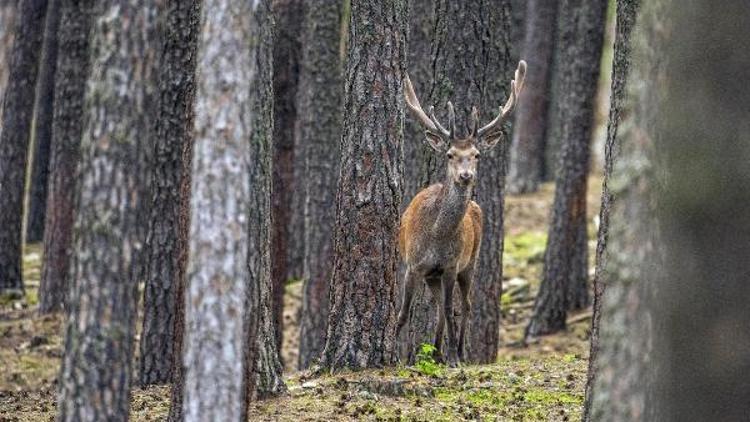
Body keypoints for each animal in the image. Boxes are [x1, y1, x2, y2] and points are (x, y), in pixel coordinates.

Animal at [396, 60, 524, 366]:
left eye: (476, 154)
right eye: (450, 154)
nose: (466, 176)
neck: (435, 235)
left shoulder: (452, 265)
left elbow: (450, 309)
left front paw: (453, 356)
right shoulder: (414, 265)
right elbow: (404, 311)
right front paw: (395, 353)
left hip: (470, 262)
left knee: (463, 305)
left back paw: (459, 352)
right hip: (433, 275)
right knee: (440, 308)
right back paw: (436, 352)